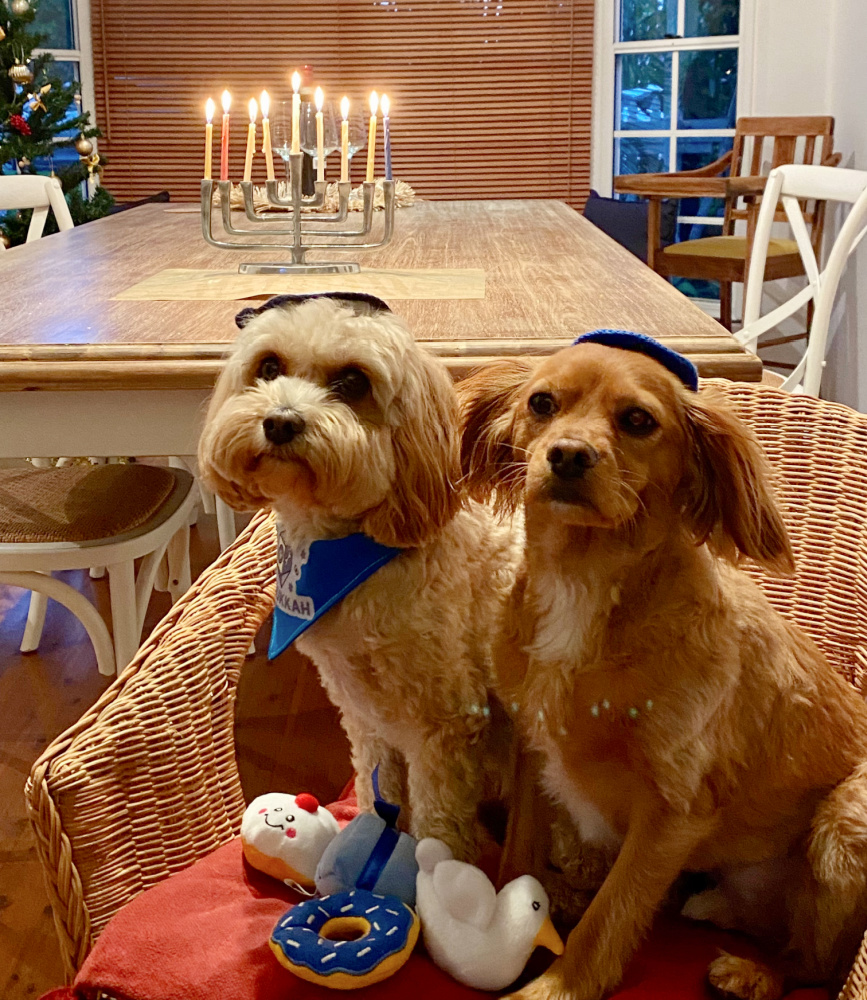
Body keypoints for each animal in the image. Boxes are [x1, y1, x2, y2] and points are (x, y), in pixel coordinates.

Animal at [198, 294, 524, 860]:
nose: (280, 422)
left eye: (352, 382)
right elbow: (377, 790)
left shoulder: (445, 725)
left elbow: (437, 822)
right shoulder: (366, 716)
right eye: (268, 367)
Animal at [458, 340, 867, 996]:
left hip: (843, 822)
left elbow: (612, 916)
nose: (567, 455)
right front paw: (509, 924)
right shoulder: (535, 751)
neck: (584, 579)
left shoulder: (674, 812)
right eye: (542, 403)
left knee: (816, 965)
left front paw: (554, 985)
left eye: (637, 420)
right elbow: (518, 856)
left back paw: (755, 972)